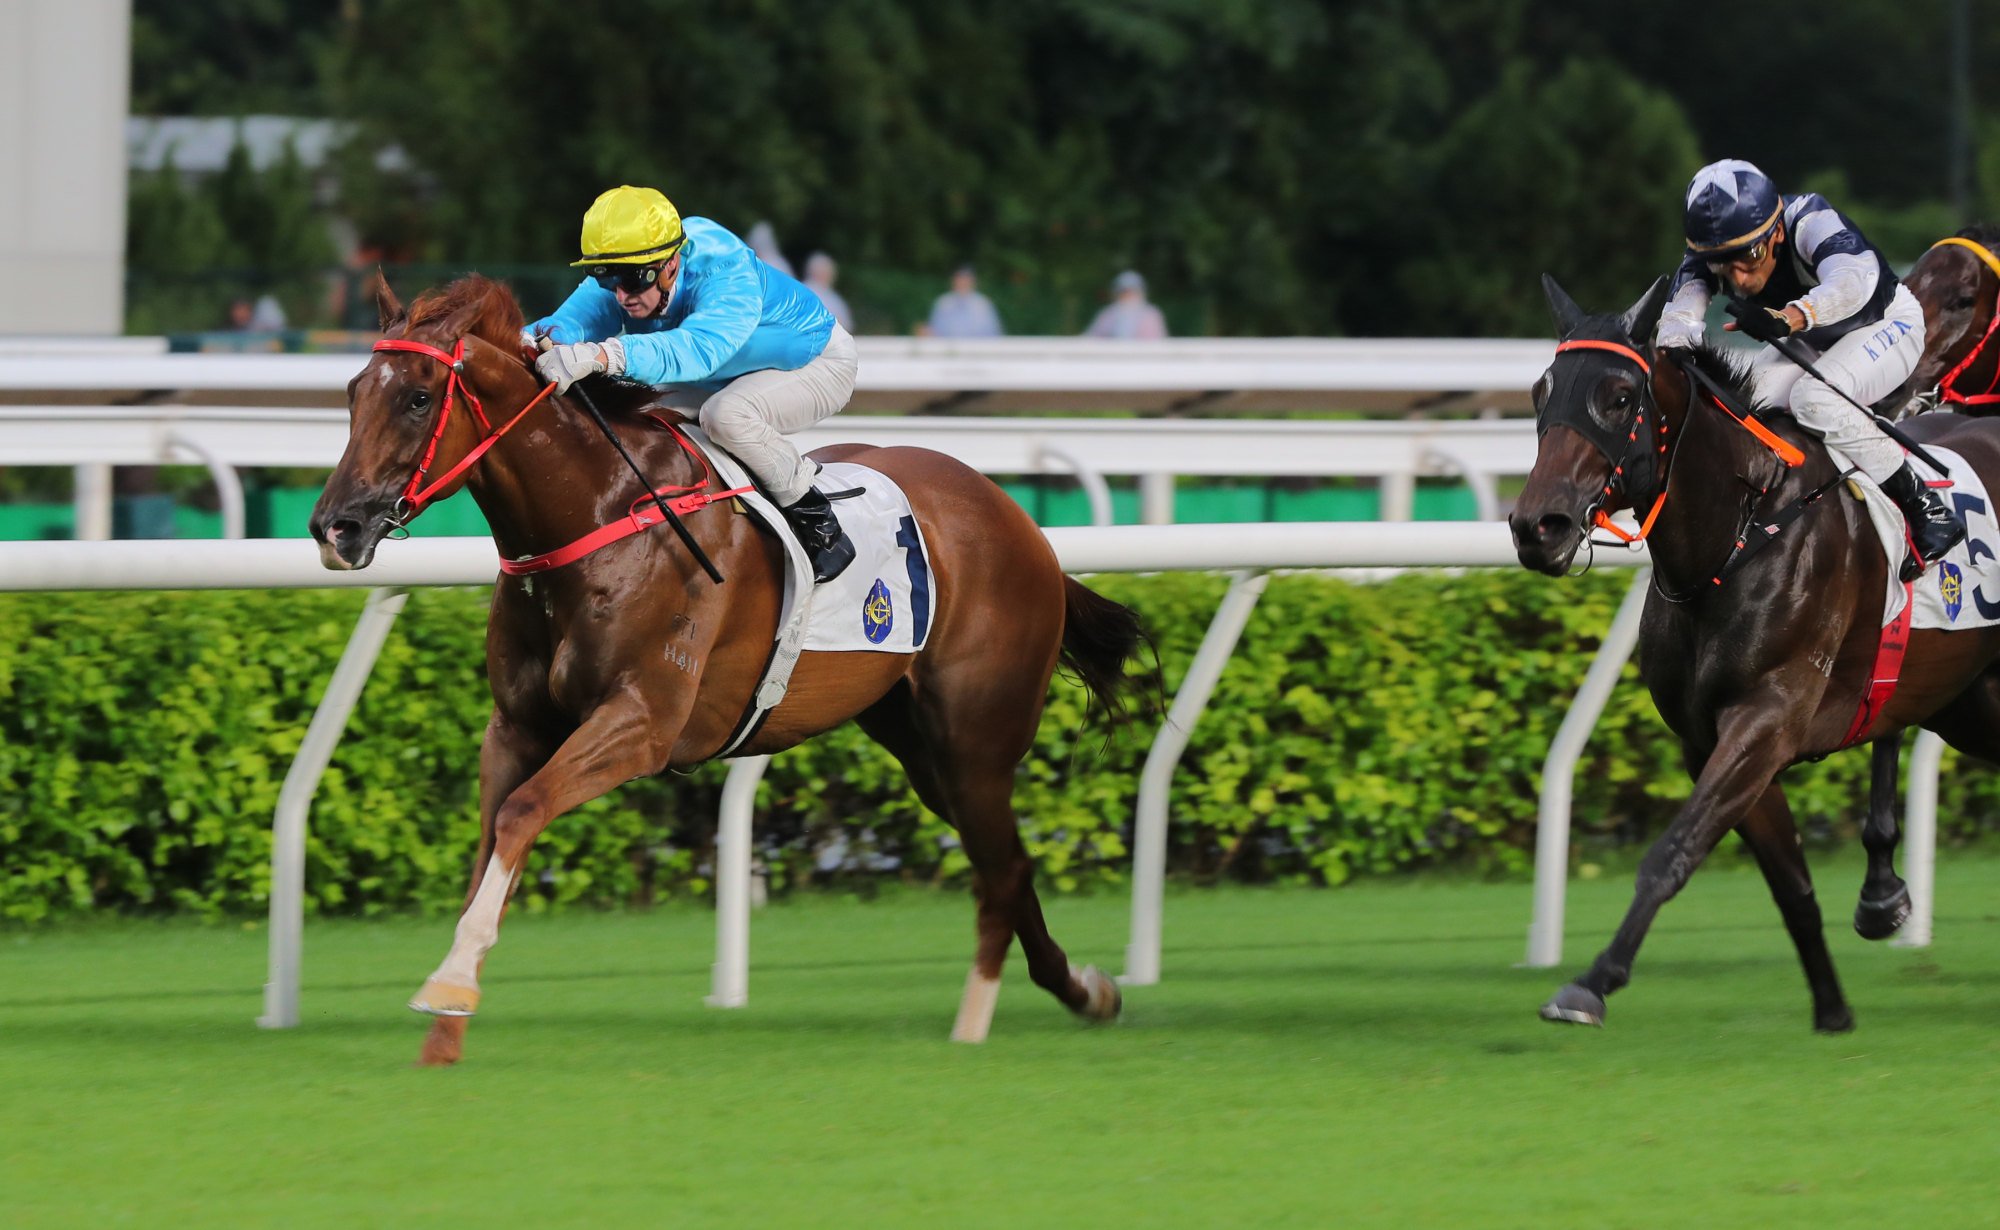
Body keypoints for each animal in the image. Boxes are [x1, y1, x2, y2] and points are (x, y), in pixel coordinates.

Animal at [300, 274, 1144, 1064]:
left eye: (417, 398)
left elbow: (522, 811)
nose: (335, 527)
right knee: (1008, 860)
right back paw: (1086, 991)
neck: (597, 517)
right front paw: (447, 1023)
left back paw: (977, 1018)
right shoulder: (516, 727)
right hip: (924, 748)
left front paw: (449, 986)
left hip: (976, 737)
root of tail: (1020, 521)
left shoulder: (642, 721)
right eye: (352, 392)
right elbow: (491, 843)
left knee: (1000, 869)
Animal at [1504, 276, 2000, 1032]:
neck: (1738, 534)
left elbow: (1672, 851)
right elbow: (1790, 884)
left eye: (1618, 397)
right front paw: (1832, 1009)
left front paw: (1589, 984)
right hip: (1968, 703)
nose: (1539, 525)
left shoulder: (1766, 719)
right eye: (1540, 392)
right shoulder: (1712, 740)